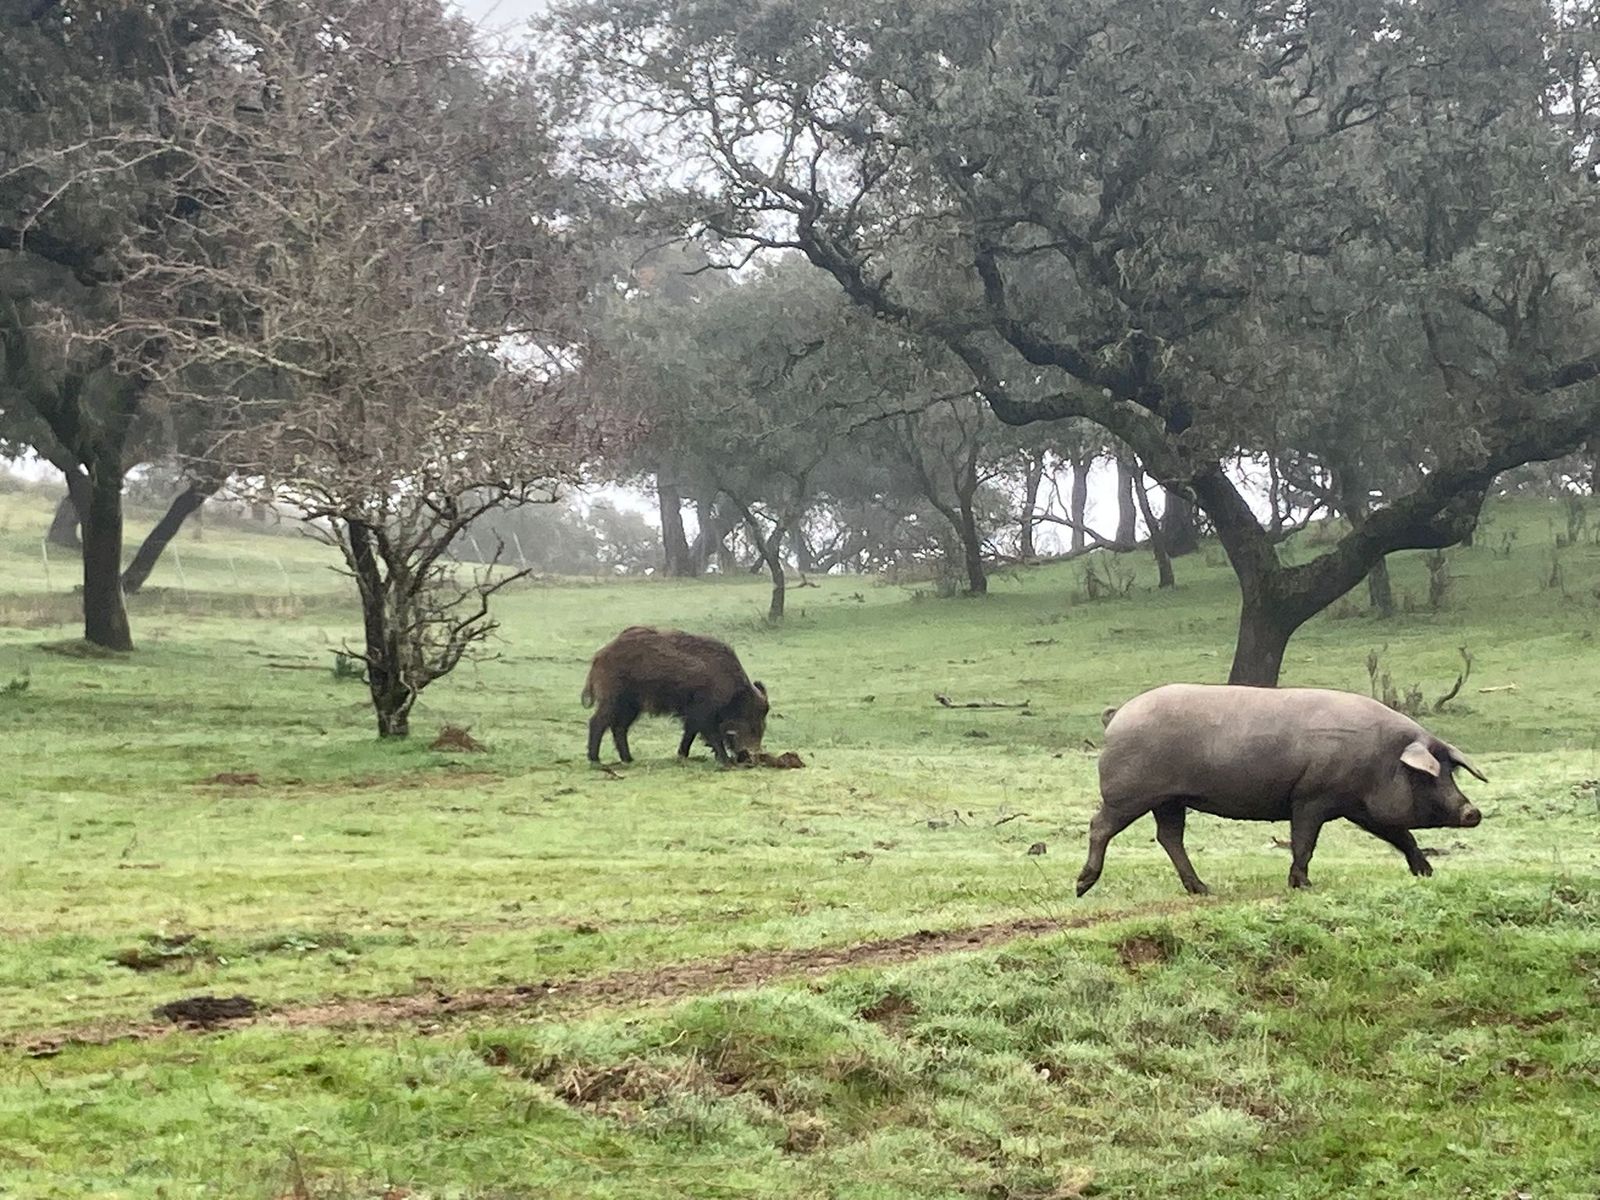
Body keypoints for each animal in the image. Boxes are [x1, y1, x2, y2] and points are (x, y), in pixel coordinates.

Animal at [582, 626, 768, 767]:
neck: (731, 692)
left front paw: (682, 756)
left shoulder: (693, 715)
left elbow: (690, 733)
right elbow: (712, 735)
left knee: (619, 728)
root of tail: (599, 656)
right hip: (614, 699)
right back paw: (596, 760)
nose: (753, 758)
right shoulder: (704, 711)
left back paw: (629, 759)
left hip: (632, 706)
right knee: (597, 722)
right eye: (751, 721)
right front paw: (726, 762)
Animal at [1077, 684, 1486, 896]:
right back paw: (1082, 886)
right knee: (1100, 826)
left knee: (1169, 837)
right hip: (1128, 794)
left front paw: (1427, 873)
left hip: (1170, 799)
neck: (1378, 758)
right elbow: (1305, 842)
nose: (1473, 812)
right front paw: (1302, 885)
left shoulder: (1359, 806)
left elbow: (1401, 835)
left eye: (1451, 770)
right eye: (1428, 775)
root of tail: (1117, 715)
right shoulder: (1311, 797)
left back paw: (1202, 889)